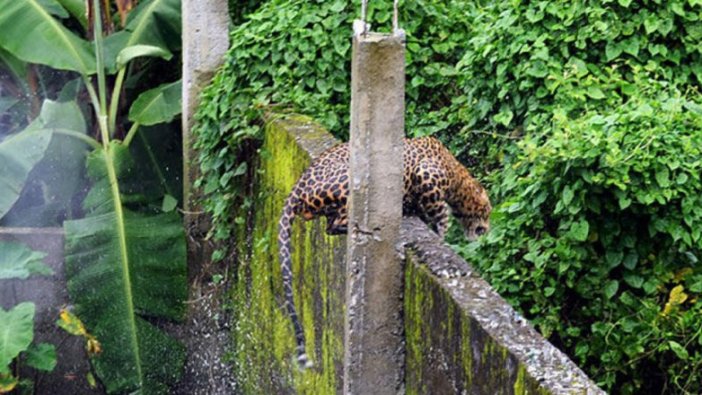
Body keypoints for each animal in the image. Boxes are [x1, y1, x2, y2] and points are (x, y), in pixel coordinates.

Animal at [278, 135, 492, 368]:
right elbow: (440, 213)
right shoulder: (426, 174)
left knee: (330, 226)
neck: (456, 175)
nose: (487, 229)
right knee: (338, 223)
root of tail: (297, 186)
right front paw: (441, 234)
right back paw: (367, 228)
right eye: (488, 210)